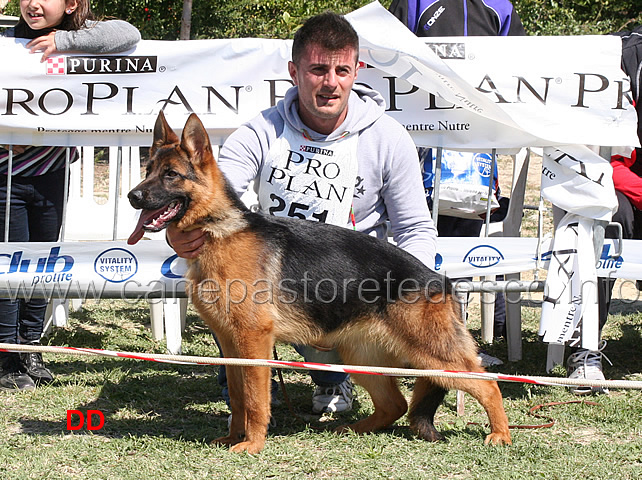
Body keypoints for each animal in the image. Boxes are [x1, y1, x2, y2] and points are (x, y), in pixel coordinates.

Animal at [126, 111, 510, 454]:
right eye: (148, 172)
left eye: (171, 175)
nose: (133, 197)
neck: (218, 229)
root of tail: (438, 279)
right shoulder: (232, 345)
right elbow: (237, 397)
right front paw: (234, 437)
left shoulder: (253, 342)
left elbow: (254, 399)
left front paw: (252, 444)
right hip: (363, 358)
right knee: (395, 404)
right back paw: (354, 430)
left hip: (432, 356)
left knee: (488, 384)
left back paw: (500, 436)